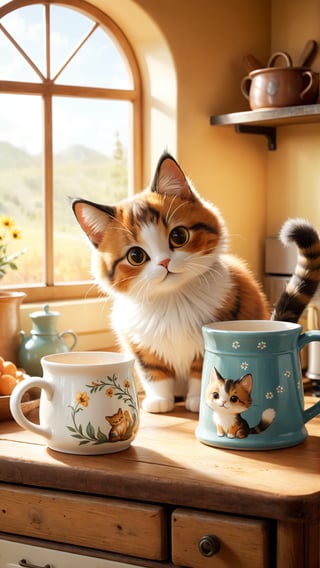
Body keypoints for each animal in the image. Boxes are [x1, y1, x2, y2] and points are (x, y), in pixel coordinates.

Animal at [71, 153, 320, 414]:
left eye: (178, 236)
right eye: (135, 256)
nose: (165, 262)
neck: (172, 300)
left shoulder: (214, 331)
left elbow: (202, 371)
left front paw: (198, 402)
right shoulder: (139, 342)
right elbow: (154, 373)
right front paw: (160, 400)